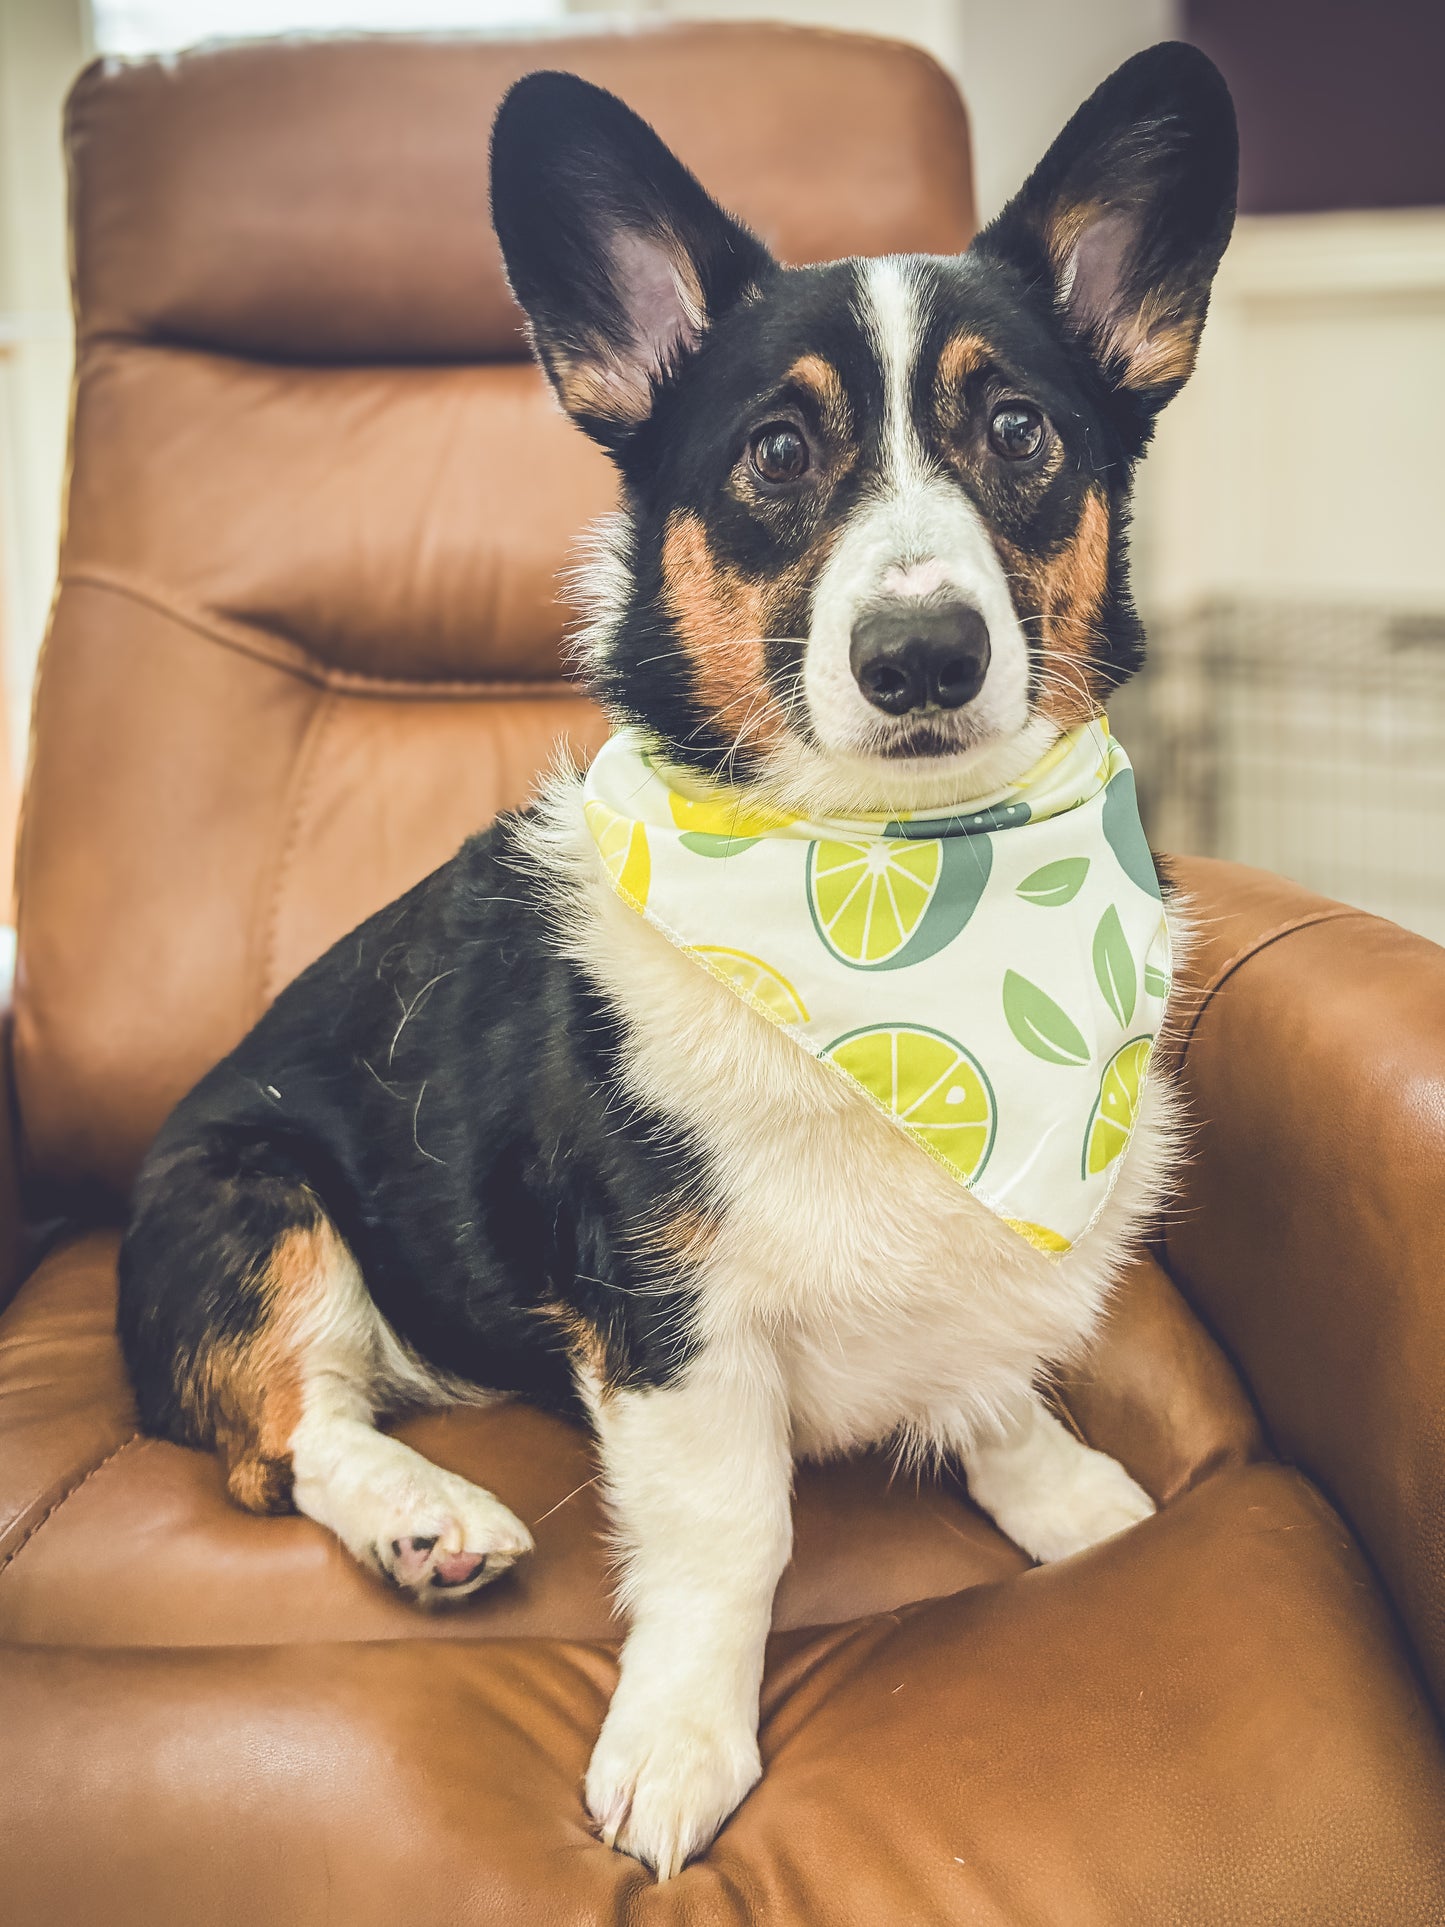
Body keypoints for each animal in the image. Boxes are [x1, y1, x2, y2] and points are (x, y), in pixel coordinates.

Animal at [118, 41, 1240, 1880]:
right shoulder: (668, 1323)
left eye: (1019, 430)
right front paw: (680, 1744)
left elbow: (996, 1391)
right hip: (254, 1205)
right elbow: (735, 1536)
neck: (893, 876)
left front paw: (1071, 1497)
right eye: (777, 451)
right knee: (285, 1435)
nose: (921, 652)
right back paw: (426, 1514)